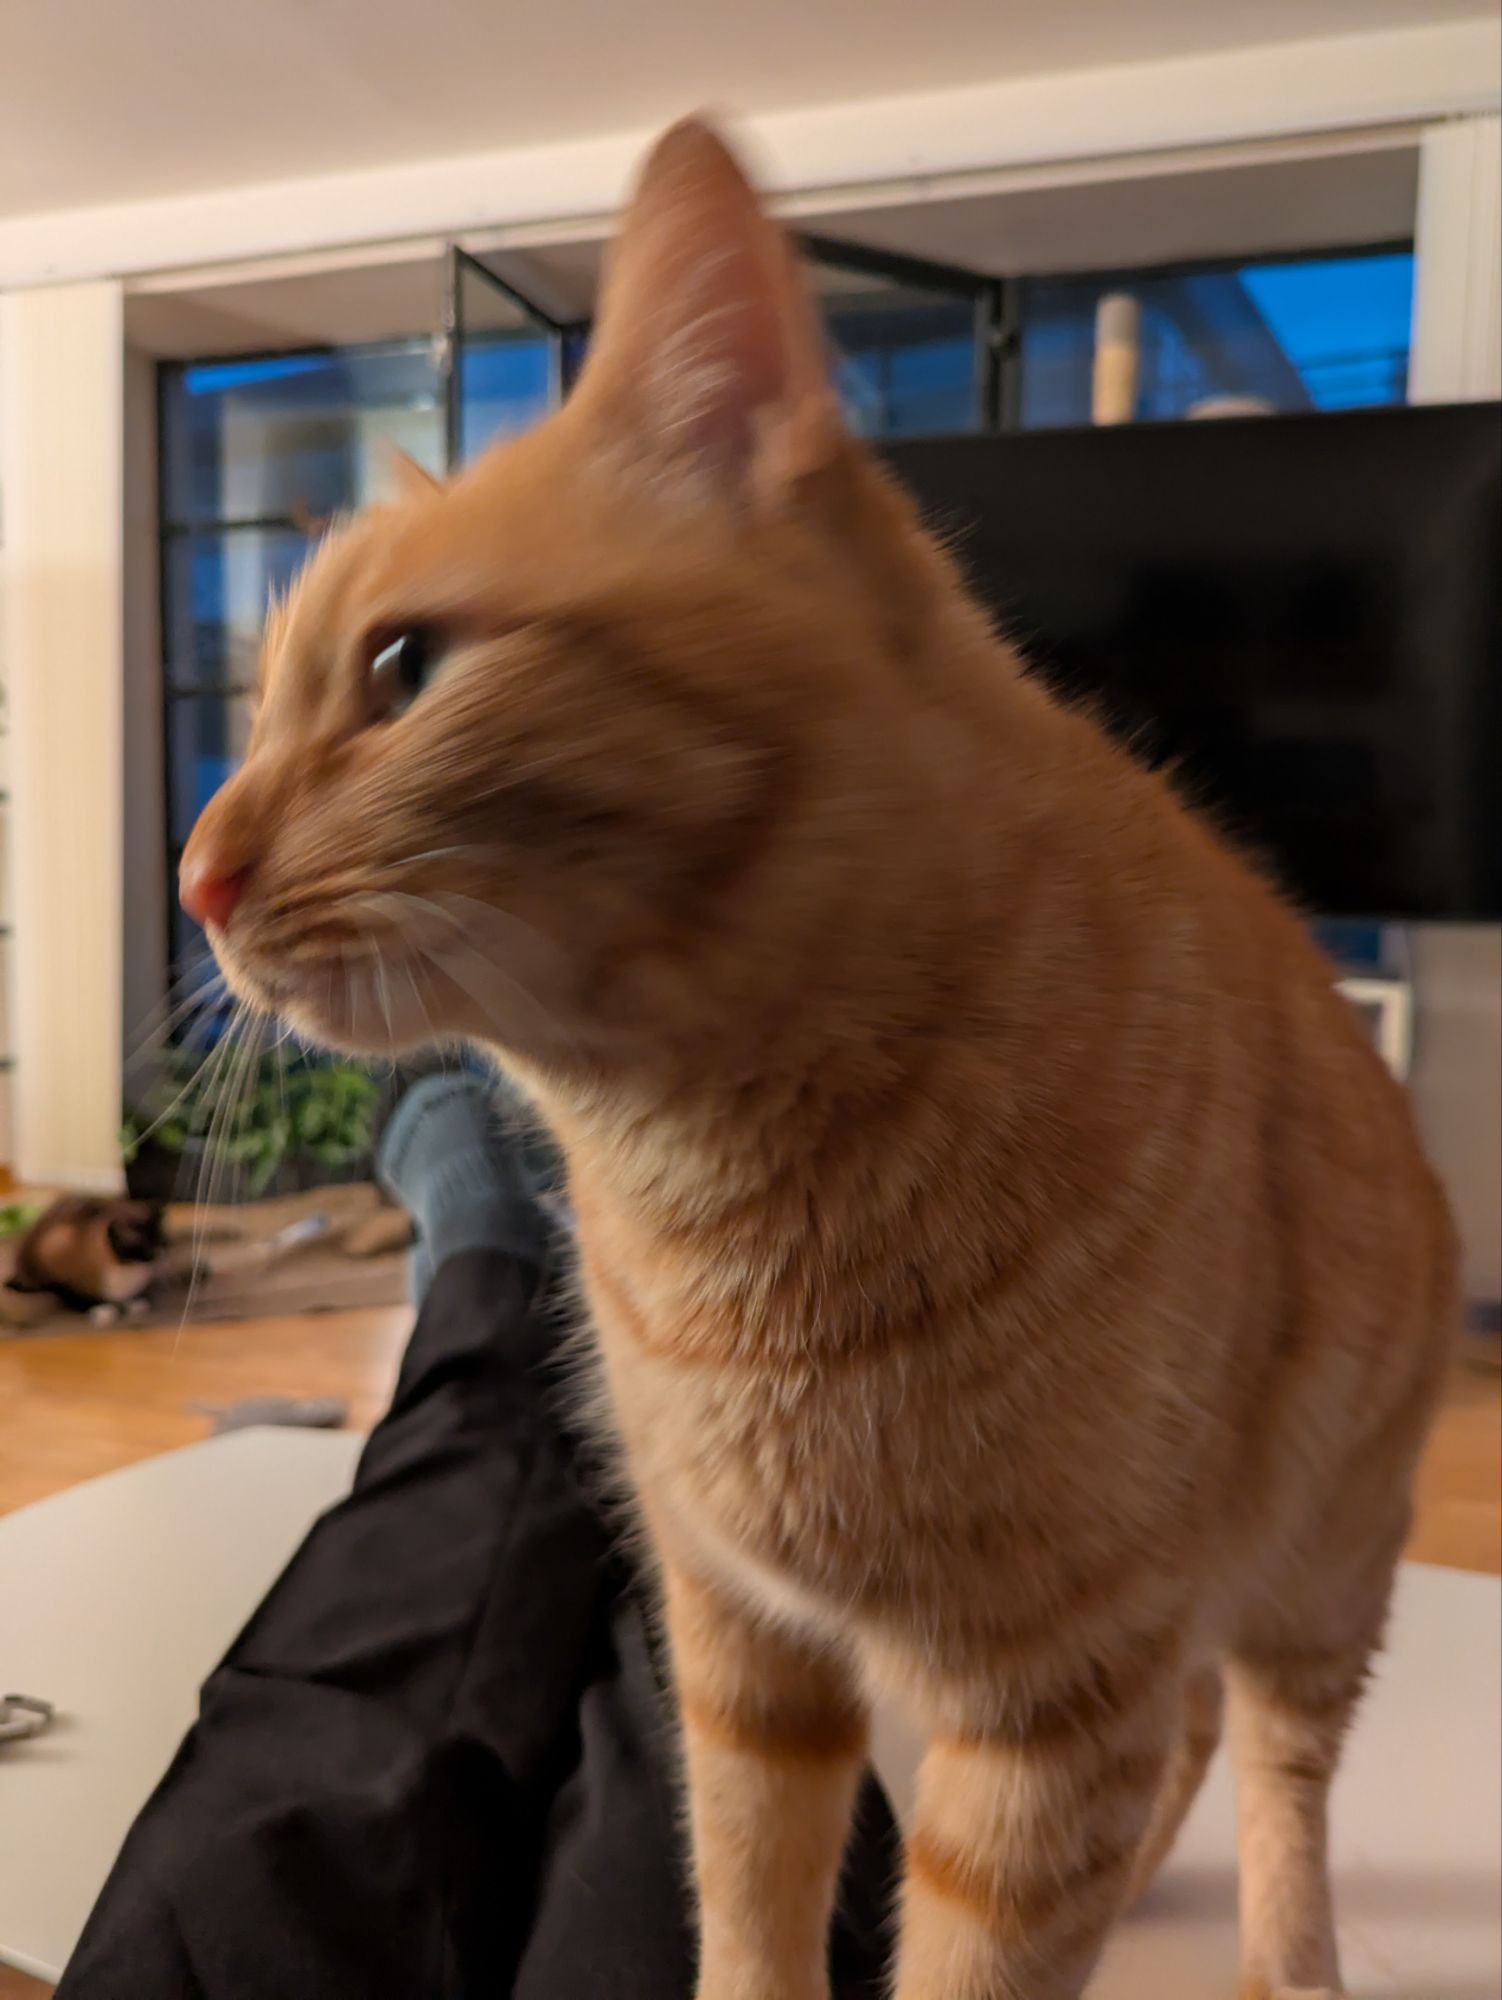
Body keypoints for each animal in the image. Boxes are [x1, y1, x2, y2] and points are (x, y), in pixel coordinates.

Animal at [180, 119, 1458, 2000]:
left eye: (403, 668)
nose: (192, 876)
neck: (708, 1183)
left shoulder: (1045, 1715)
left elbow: (977, 1952)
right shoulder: (741, 1656)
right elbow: (748, 1904)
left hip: (1317, 1575)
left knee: (1277, 1761)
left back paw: (1284, 1958)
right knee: (1200, 1739)